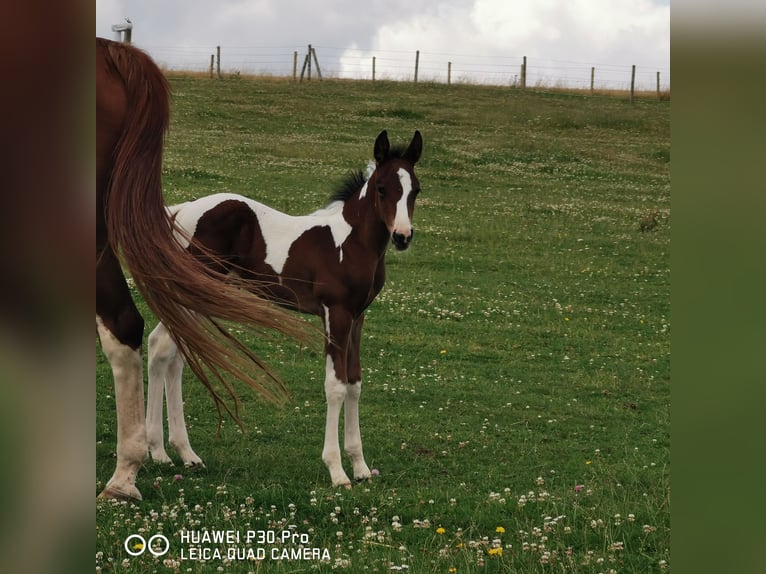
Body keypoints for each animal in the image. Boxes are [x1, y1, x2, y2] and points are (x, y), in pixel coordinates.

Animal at [146, 130, 423, 487]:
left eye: (415, 190)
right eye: (382, 188)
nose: (402, 236)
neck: (350, 243)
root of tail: (181, 211)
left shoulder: (357, 317)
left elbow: (354, 383)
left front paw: (360, 467)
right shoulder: (336, 314)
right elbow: (335, 385)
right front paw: (337, 470)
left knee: (172, 351)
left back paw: (180, 453)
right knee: (163, 348)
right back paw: (162, 452)